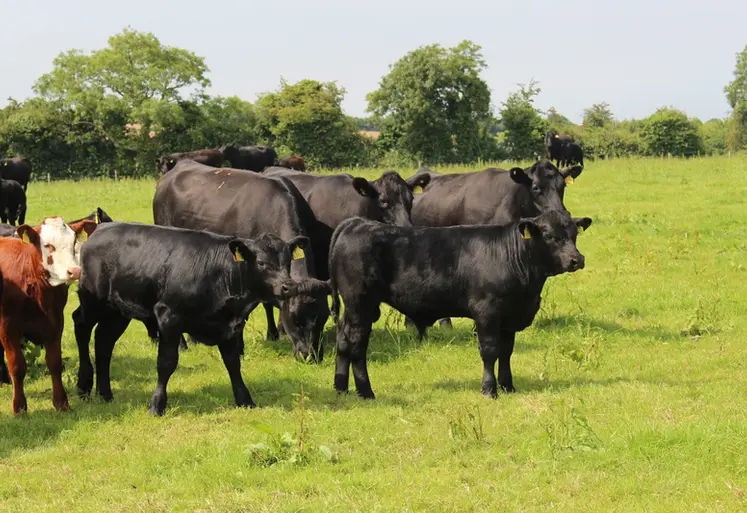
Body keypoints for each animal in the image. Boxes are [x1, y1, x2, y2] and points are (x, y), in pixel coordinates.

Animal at [0, 217, 98, 414]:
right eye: (47, 245)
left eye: (73, 242)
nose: (74, 271)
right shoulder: (8, 330)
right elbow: (17, 366)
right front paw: (19, 407)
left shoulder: (55, 324)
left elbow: (54, 363)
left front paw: (61, 403)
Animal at [73, 222, 316, 415]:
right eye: (262, 263)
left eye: (287, 262)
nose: (288, 286)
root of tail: (101, 229)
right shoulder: (168, 316)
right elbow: (166, 362)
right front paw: (156, 405)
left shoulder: (231, 326)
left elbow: (233, 363)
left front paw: (244, 399)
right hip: (93, 302)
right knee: (81, 325)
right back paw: (83, 385)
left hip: (118, 312)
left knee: (104, 343)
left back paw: (105, 394)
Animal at [152, 160, 330, 361]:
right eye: (295, 318)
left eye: (324, 318)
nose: (311, 356)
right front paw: (239, 348)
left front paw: (273, 334)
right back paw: (181, 344)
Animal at [329, 211, 592, 400]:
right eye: (549, 236)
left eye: (574, 234)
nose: (577, 259)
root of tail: (357, 223)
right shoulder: (486, 311)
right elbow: (490, 351)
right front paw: (489, 389)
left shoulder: (509, 317)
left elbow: (506, 352)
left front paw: (508, 386)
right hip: (360, 304)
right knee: (357, 345)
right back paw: (366, 392)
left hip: (353, 310)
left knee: (343, 340)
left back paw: (341, 388)